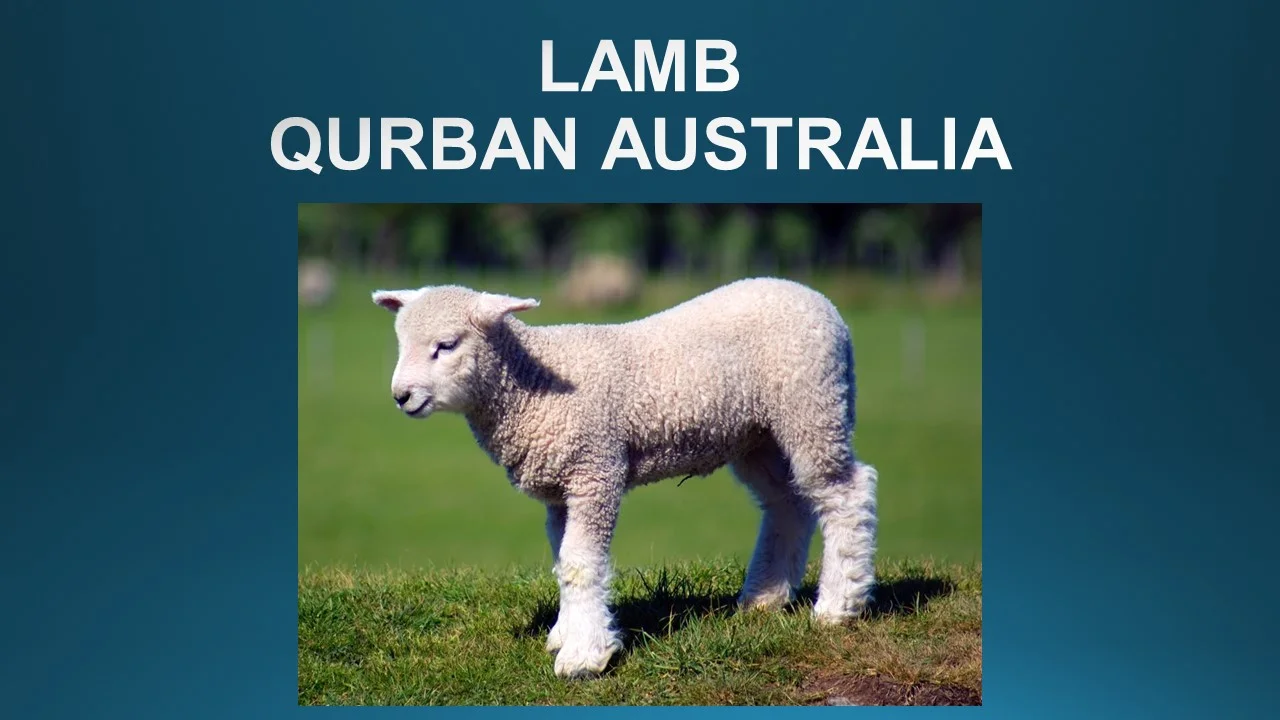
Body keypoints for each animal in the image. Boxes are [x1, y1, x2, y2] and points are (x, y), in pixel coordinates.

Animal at [371, 277, 878, 679]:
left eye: (447, 345)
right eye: (400, 343)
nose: (401, 396)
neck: (531, 386)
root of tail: (819, 300)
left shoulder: (595, 470)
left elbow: (580, 562)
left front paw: (585, 655)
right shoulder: (561, 489)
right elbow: (563, 560)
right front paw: (565, 632)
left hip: (812, 405)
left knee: (845, 492)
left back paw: (839, 605)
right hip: (758, 436)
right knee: (787, 503)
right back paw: (765, 596)